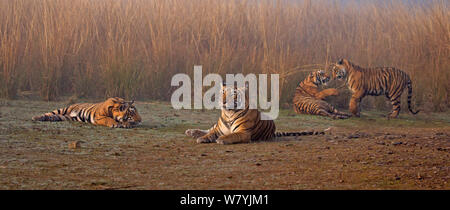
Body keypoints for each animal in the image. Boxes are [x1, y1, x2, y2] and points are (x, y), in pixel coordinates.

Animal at [185, 83, 326, 145]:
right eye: (222, 93)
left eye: (232, 94)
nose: (222, 101)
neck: (228, 113)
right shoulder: (218, 129)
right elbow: (210, 133)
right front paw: (202, 138)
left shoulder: (243, 132)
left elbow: (231, 135)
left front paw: (221, 139)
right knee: (208, 128)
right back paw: (191, 132)